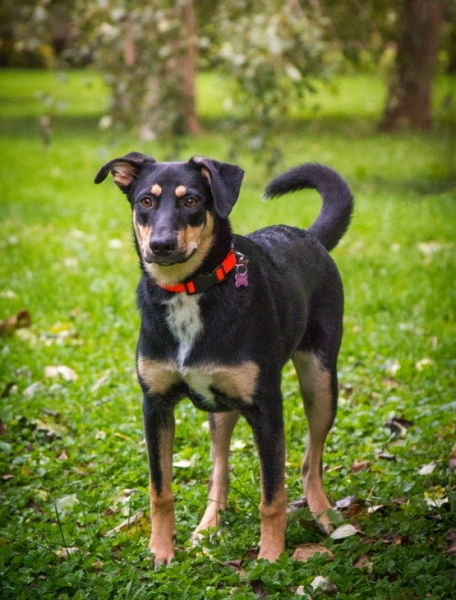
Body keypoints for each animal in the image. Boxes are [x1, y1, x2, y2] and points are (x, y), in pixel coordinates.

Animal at [95, 153, 353, 565]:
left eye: (191, 201)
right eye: (146, 201)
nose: (161, 245)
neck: (188, 291)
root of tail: (308, 235)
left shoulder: (266, 408)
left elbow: (272, 496)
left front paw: (270, 556)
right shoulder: (155, 405)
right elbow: (160, 490)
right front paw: (161, 550)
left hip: (320, 381)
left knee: (310, 461)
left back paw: (324, 513)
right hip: (221, 407)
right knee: (220, 470)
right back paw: (207, 527)